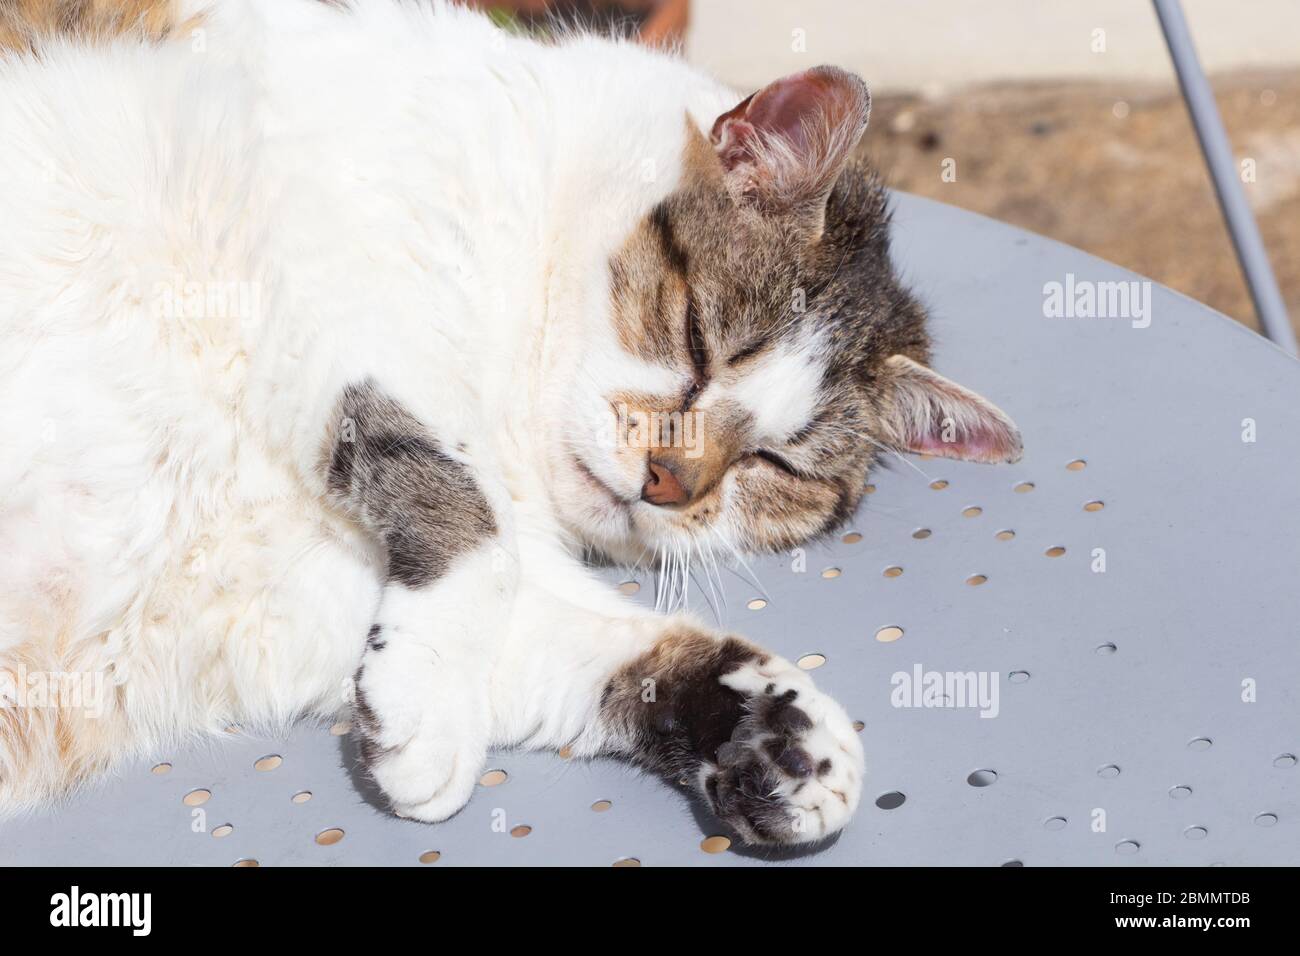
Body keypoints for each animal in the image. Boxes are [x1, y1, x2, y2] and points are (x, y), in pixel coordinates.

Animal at [0, 0, 1019, 848]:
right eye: (703, 344)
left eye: (776, 465)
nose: (668, 483)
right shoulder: (336, 280)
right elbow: (468, 515)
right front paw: (431, 701)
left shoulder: (293, 583)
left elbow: (583, 638)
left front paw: (788, 743)